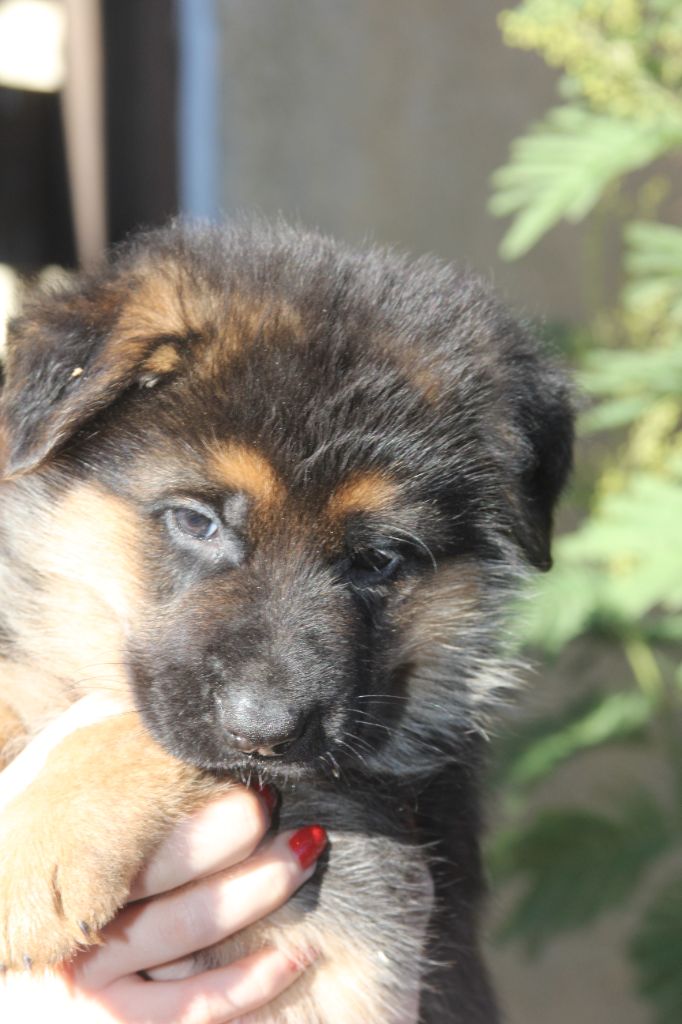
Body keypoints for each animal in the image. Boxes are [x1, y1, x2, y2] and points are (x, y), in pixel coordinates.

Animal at [0, 219, 573, 1022]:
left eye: (380, 558)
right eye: (195, 521)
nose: (267, 732)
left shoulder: (362, 918)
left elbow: (130, 721)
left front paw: (38, 847)